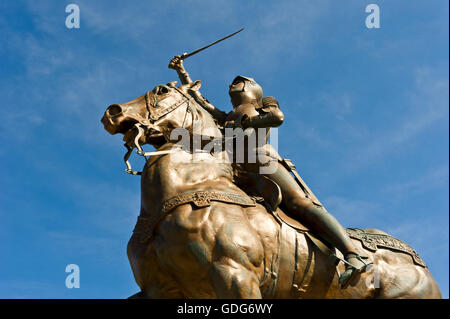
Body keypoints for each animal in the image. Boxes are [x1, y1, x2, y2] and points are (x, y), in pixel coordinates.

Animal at [100, 80, 442, 300]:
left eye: (162, 90)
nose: (112, 112)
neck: (193, 185)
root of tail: (415, 258)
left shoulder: (236, 276)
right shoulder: (160, 289)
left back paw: (356, 260)